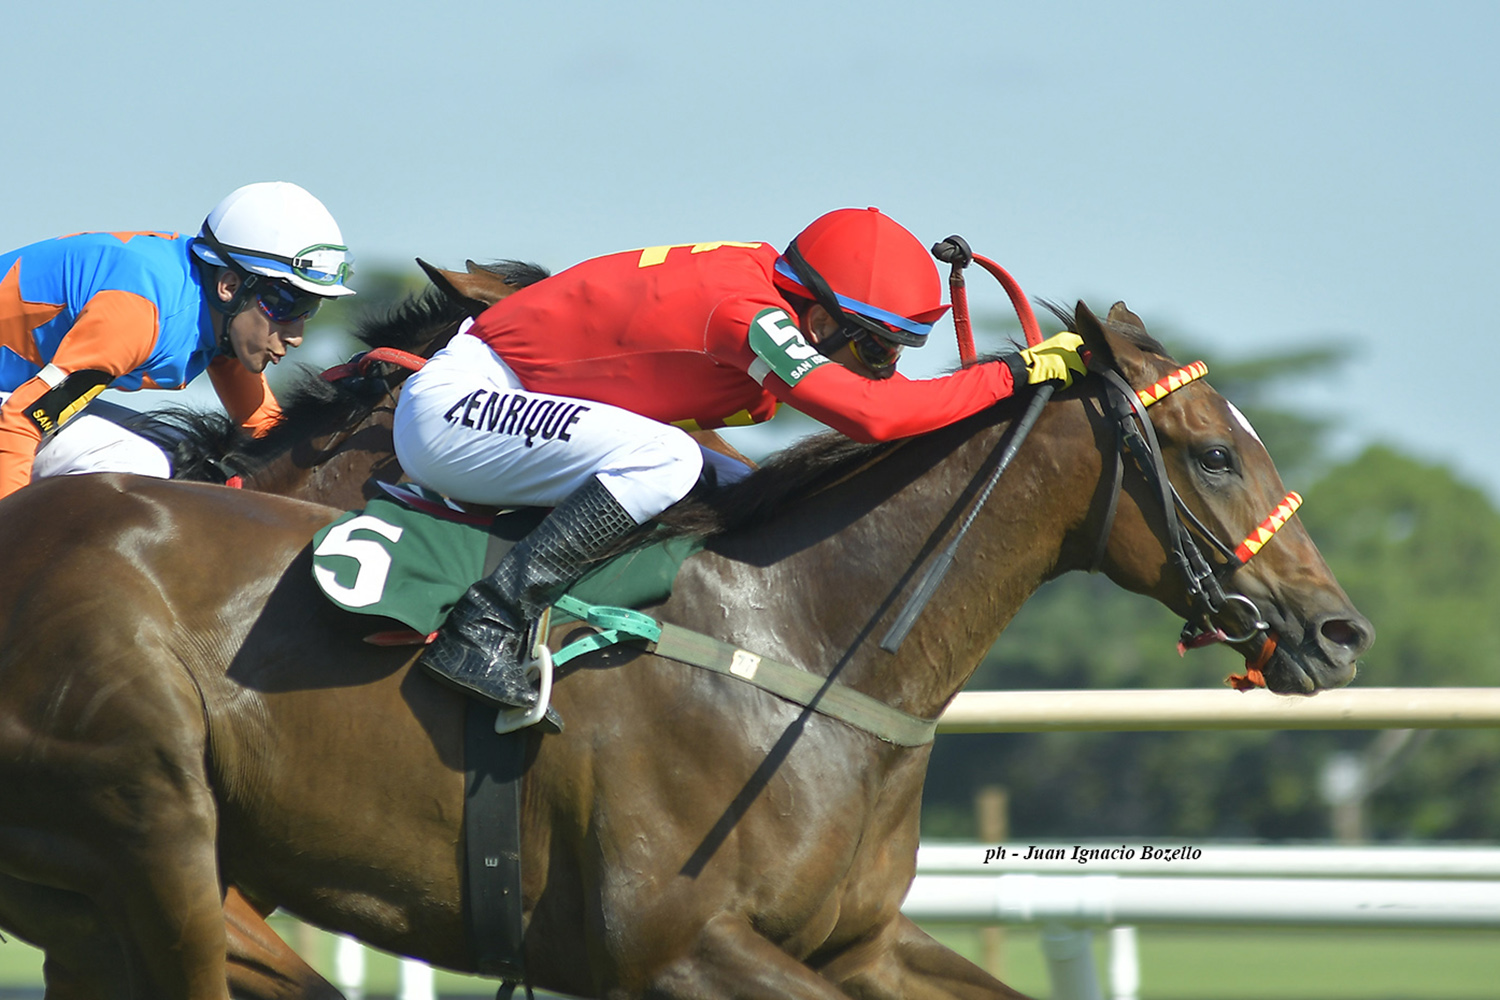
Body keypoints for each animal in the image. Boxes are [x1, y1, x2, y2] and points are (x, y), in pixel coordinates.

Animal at [0, 300, 1373, 999]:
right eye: (1213, 451)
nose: (1339, 629)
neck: (809, 643)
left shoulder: (856, 943)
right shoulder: (666, 941)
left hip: (103, 902)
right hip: (157, 834)